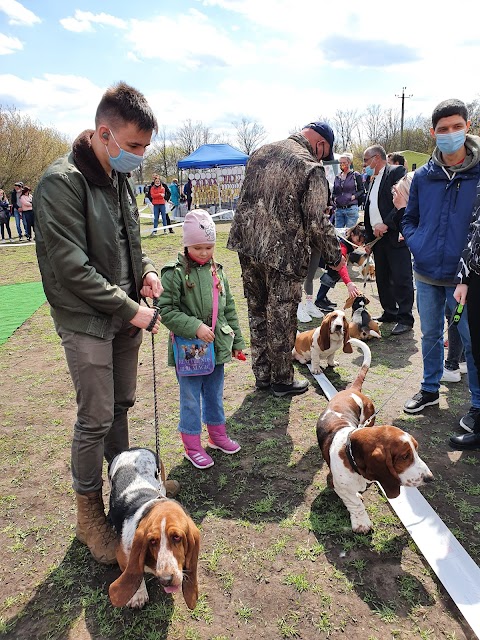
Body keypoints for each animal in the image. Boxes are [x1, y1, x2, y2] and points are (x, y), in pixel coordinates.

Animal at [108, 450, 200, 608]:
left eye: (177, 537)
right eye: (151, 541)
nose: (166, 579)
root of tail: (132, 450)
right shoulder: (123, 557)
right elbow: (136, 575)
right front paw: (138, 596)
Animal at [316, 342, 434, 532]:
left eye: (416, 450)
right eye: (404, 456)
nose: (430, 478)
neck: (350, 452)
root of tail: (352, 390)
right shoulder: (339, 486)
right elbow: (354, 502)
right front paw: (361, 522)